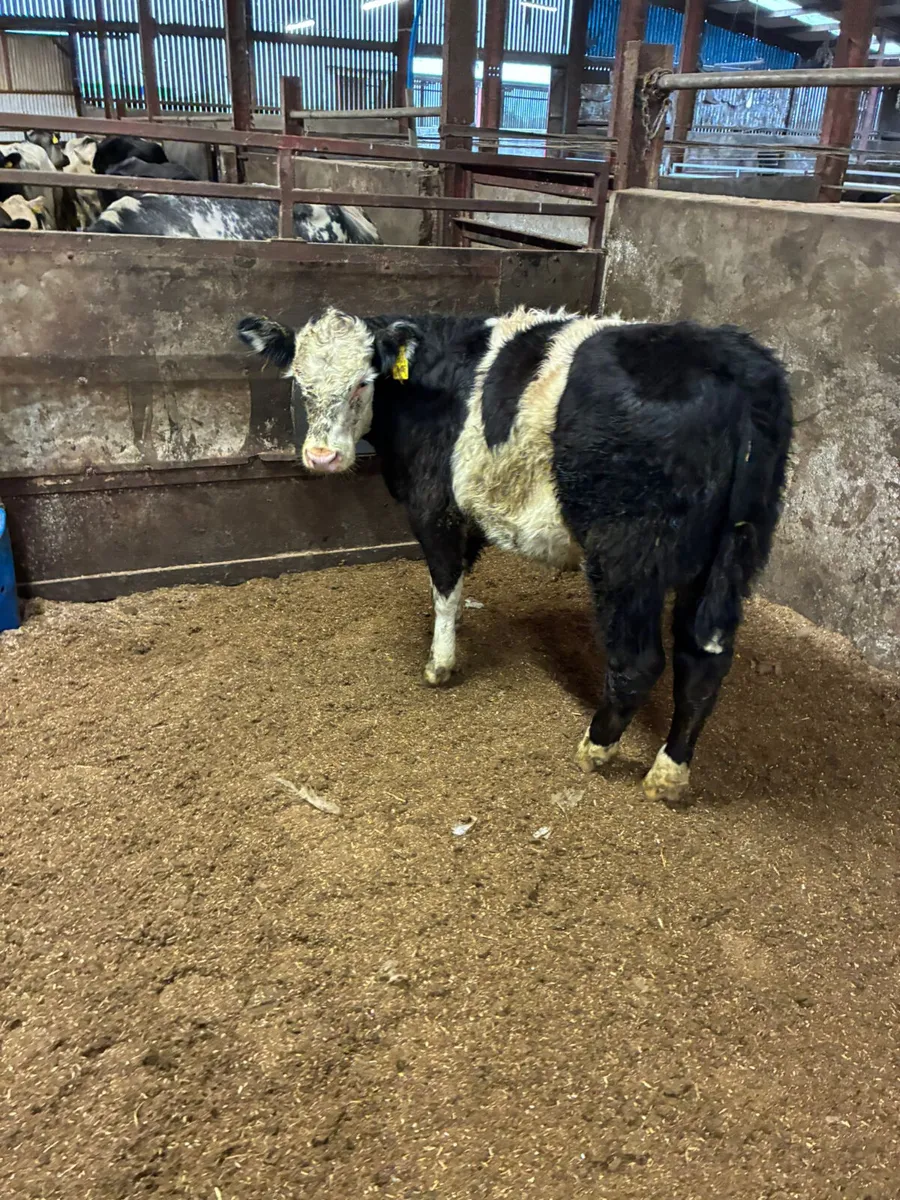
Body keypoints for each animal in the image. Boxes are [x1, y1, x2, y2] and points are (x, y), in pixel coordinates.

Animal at [237, 306, 793, 805]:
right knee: (703, 661)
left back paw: (595, 748)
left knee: (640, 662)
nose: (322, 457)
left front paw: (440, 665)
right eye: (300, 383)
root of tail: (735, 363)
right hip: (731, 557)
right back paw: (669, 774)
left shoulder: (435, 508)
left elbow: (445, 589)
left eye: (363, 382)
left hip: (630, 557)